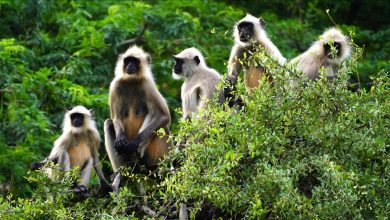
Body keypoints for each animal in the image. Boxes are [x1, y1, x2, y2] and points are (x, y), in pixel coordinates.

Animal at [103, 45, 171, 192]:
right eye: (128, 60)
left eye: (135, 61)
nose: (130, 66)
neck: (131, 80)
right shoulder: (115, 85)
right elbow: (115, 117)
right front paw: (120, 139)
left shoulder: (148, 84)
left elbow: (164, 116)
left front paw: (133, 144)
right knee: (108, 123)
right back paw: (121, 172)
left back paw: (137, 155)